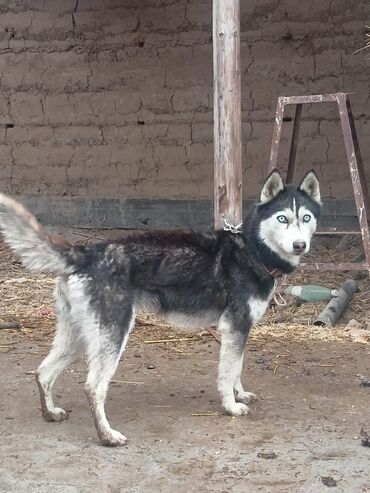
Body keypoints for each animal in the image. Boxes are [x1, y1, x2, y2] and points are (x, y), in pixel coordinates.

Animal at [0, 169, 320, 446]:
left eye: (306, 217)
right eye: (282, 218)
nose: (300, 245)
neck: (253, 250)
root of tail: (86, 252)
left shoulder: (238, 332)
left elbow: (237, 369)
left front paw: (239, 395)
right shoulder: (235, 327)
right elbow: (227, 373)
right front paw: (230, 406)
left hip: (78, 337)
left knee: (43, 372)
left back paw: (50, 413)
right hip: (112, 336)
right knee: (93, 388)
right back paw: (107, 436)